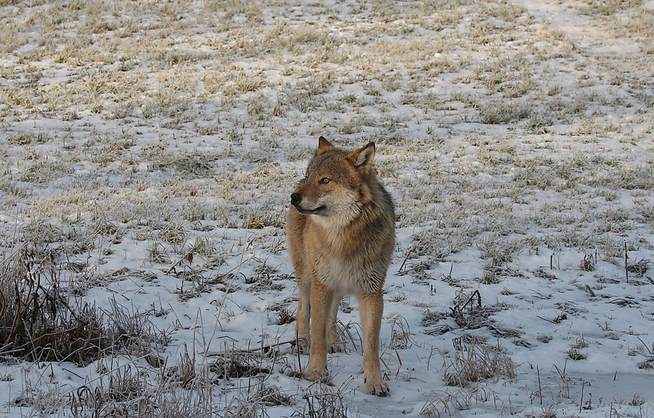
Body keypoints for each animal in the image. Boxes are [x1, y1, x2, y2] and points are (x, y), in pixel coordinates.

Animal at [288, 136, 394, 396]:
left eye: (325, 180)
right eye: (309, 175)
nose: (294, 197)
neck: (342, 238)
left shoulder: (372, 292)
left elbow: (371, 347)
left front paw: (375, 382)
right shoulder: (321, 286)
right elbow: (317, 335)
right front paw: (315, 372)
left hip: (335, 286)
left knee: (332, 314)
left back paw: (334, 342)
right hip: (308, 278)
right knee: (303, 307)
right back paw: (302, 342)